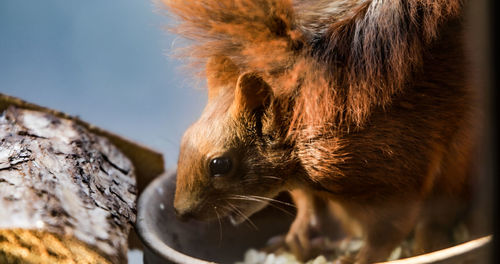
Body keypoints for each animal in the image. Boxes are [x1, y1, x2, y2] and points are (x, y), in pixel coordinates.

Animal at [163, 1, 480, 262]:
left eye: (220, 164)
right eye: (183, 140)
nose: (181, 212)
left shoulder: (395, 165)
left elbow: (389, 228)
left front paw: (362, 258)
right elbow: (309, 204)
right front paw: (299, 233)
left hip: (458, 161)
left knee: (438, 216)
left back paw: (425, 244)